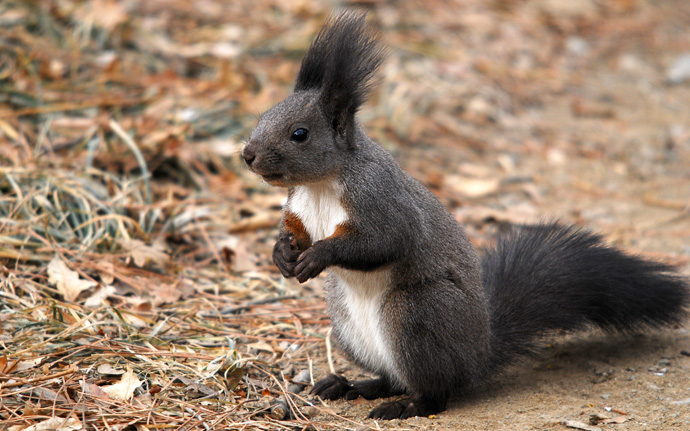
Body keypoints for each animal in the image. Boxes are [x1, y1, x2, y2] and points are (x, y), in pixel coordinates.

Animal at [239, 11, 684, 420]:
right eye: (261, 117)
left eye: (299, 134)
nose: (247, 154)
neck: (321, 185)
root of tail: (479, 356)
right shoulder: (299, 208)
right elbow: (294, 231)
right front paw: (282, 253)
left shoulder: (382, 201)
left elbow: (383, 242)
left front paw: (318, 256)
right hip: (347, 325)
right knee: (392, 377)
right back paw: (352, 385)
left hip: (416, 313)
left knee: (436, 390)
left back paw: (405, 405)